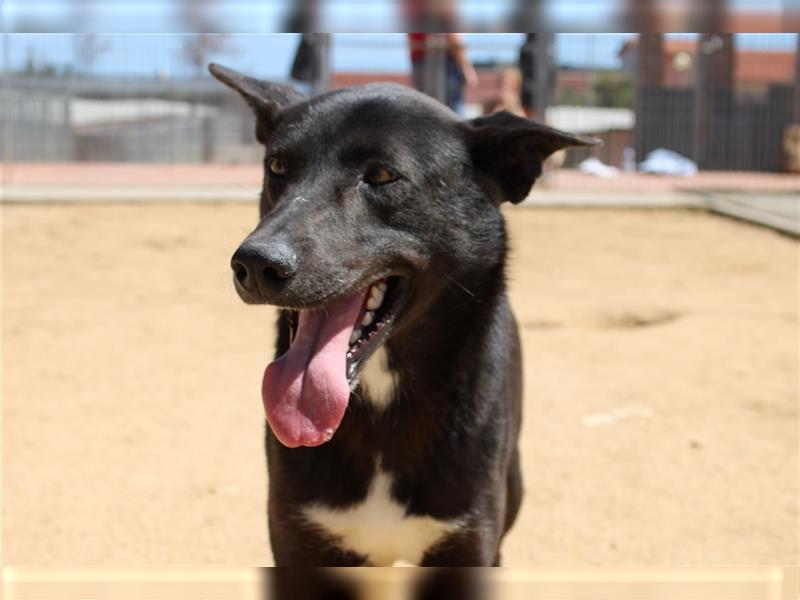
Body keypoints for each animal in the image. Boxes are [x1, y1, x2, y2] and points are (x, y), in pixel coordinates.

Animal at [209, 63, 596, 564]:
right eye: (276, 168)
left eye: (381, 174)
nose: (255, 264)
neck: (381, 404)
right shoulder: (299, 541)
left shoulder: (470, 543)